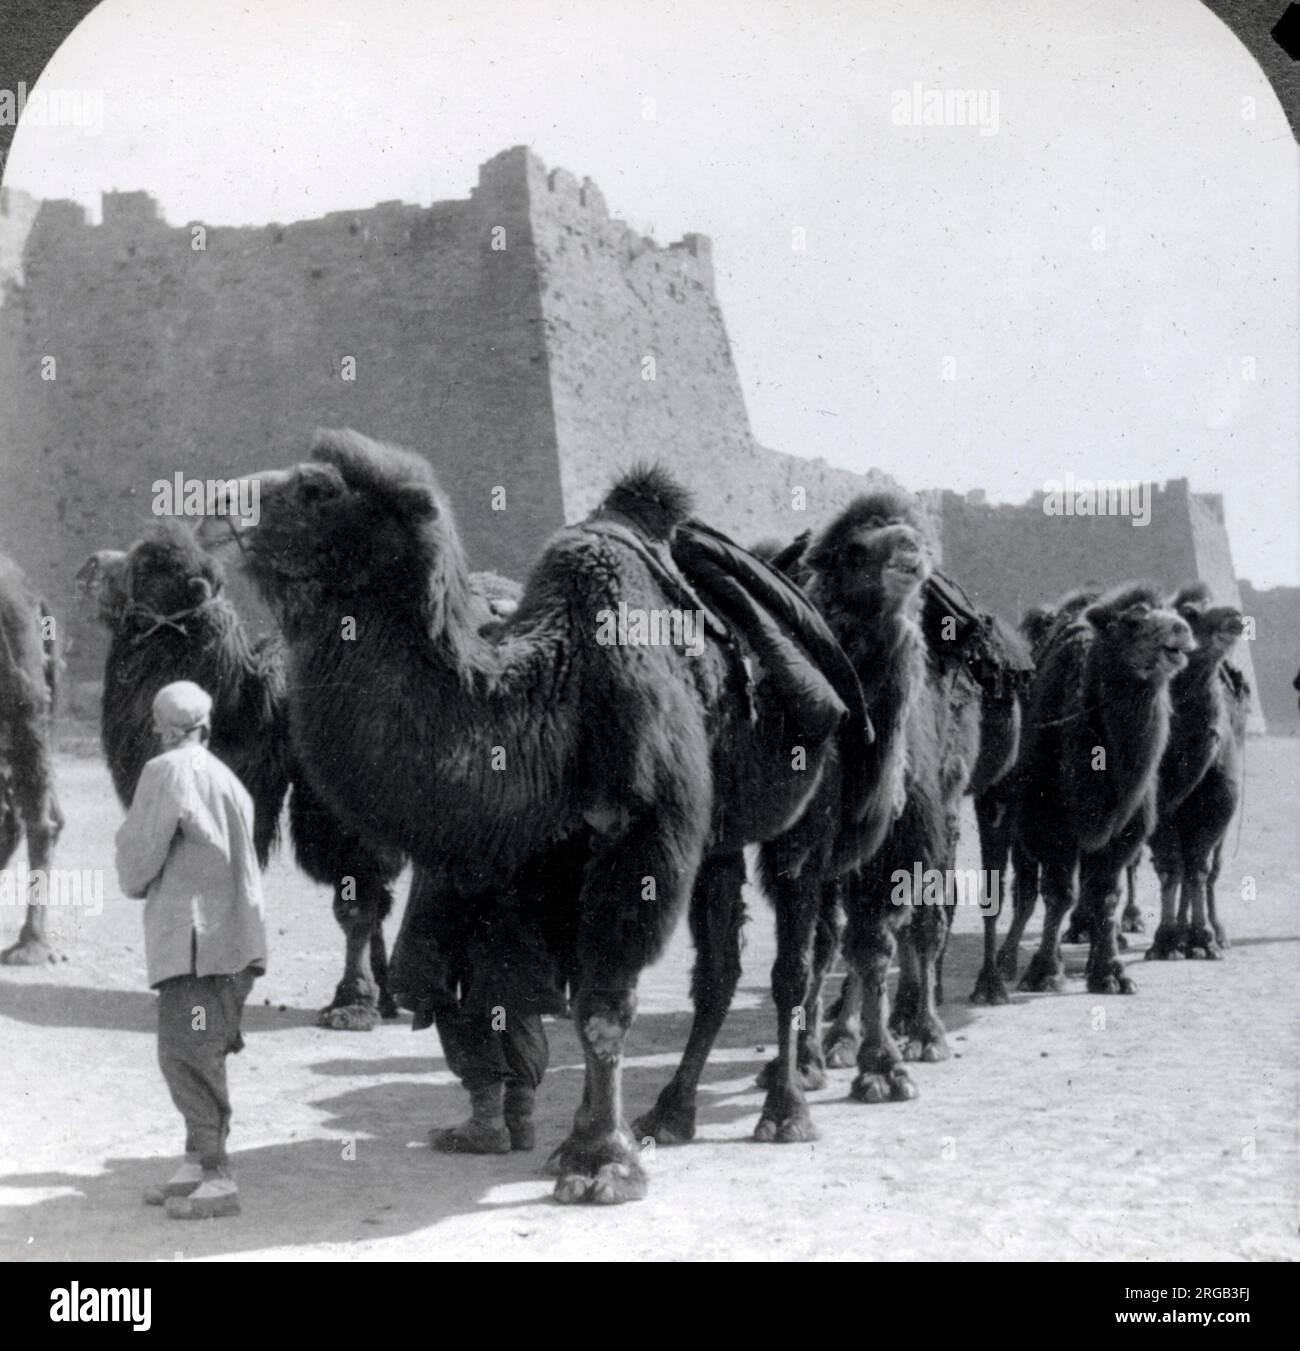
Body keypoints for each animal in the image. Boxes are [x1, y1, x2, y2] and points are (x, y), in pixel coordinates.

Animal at [208, 429, 864, 1205]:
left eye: (317, 488)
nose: (215, 501)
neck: (559, 685)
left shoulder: (644, 842)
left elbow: (604, 1008)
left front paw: (600, 1164)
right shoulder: (548, 851)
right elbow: (556, 993)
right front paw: (581, 1138)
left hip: (806, 814)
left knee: (792, 958)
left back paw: (784, 1112)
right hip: (716, 840)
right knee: (719, 970)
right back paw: (670, 1114)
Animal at [1000, 580, 1189, 994]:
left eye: (1172, 611)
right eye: (1133, 620)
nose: (1181, 630)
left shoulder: (1124, 830)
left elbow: (1104, 895)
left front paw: (1110, 972)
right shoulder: (1048, 821)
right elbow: (1057, 893)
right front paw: (1043, 971)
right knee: (1024, 887)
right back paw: (1006, 959)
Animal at [1145, 580, 1248, 961]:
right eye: (1189, 612)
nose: (1235, 616)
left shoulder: (1220, 802)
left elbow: (1200, 868)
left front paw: (1204, 938)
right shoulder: (1158, 805)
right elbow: (1170, 867)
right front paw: (1165, 940)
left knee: (1209, 869)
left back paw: (1216, 933)